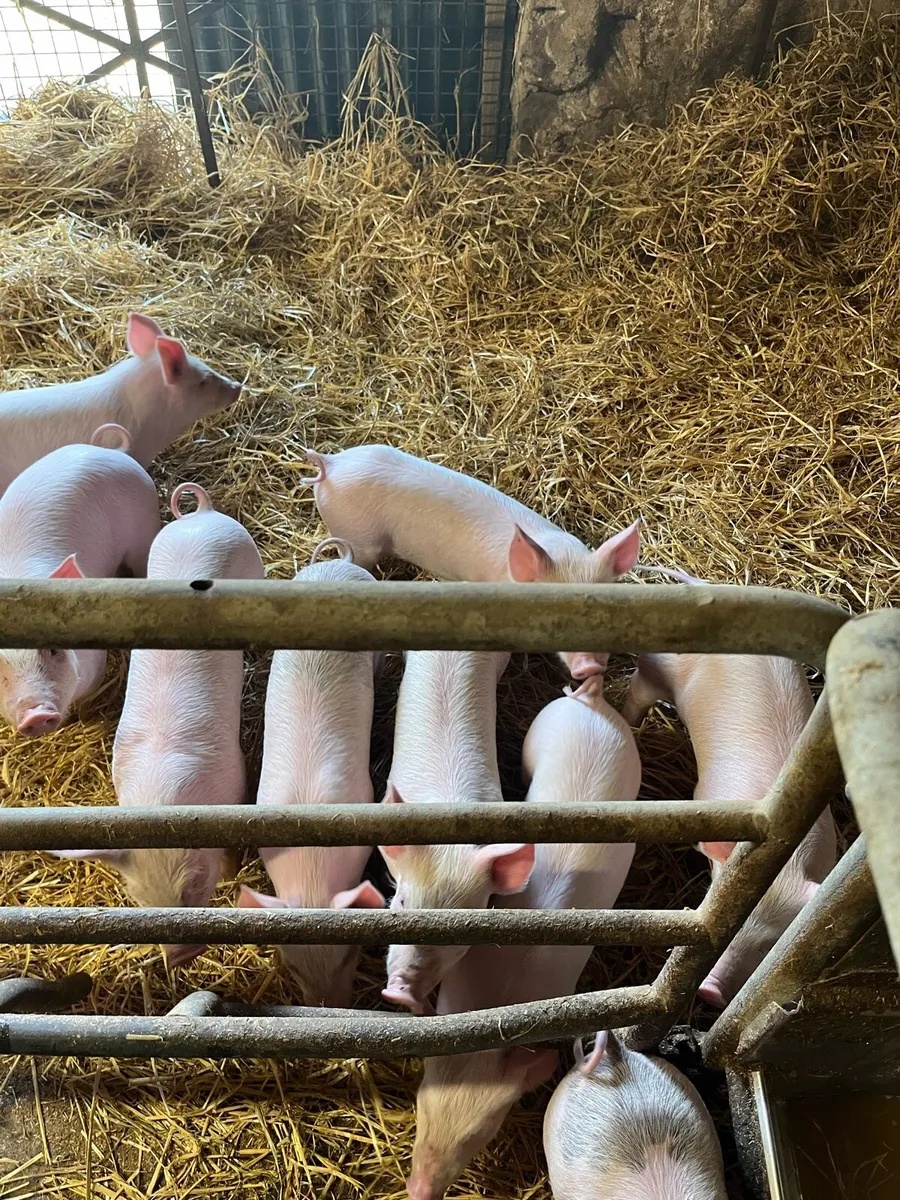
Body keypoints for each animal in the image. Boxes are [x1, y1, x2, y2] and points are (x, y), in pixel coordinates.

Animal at [0, 424, 160, 736]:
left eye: (53, 648)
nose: (36, 715)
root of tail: (113, 452)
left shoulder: (95, 659)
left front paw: (82, 716)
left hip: (145, 527)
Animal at [55, 482, 264, 966]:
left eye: (193, 884)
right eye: (138, 897)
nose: (180, 957)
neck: (160, 793)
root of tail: (201, 515)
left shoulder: (236, 775)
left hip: (251, 558)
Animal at [406, 681, 640, 1200]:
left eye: (481, 1132)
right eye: (419, 1102)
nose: (418, 1190)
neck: (497, 999)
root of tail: (593, 701)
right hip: (541, 731)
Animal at [623, 570, 837, 1009]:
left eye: (767, 945)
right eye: (720, 919)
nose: (710, 992)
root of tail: (700, 585)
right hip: (657, 667)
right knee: (637, 692)